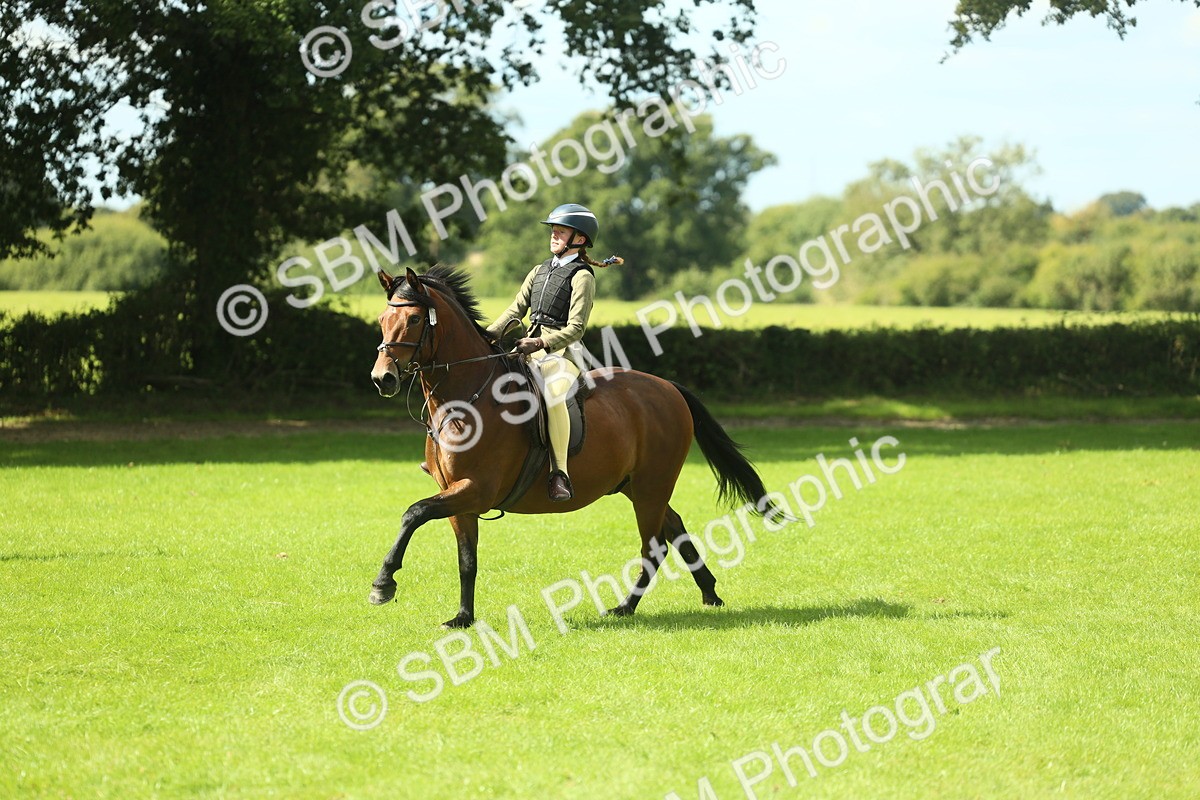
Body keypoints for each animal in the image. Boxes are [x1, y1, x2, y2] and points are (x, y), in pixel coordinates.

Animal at [368, 265, 782, 628]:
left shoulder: (476, 490)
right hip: (637, 486)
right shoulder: (456, 495)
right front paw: (463, 618)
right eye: (383, 319)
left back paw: (626, 607)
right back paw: (708, 593)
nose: (382, 378)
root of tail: (668, 387)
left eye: (415, 320)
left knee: (655, 546)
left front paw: (383, 584)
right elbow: (466, 559)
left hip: (652, 485)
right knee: (674, 527)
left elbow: (413, 513)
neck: (467, 400)